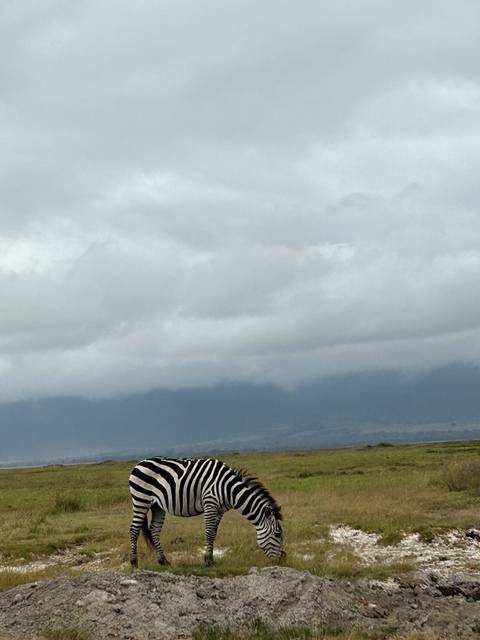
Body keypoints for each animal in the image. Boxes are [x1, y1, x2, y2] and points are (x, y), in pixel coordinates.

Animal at [129, 456, 285, 566]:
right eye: (278, 534)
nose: (283, 559)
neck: (229, 489)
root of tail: (139, 464)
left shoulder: (220, 510)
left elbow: (214, 533)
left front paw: (210, 559)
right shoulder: (210, 503)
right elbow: (209, 533)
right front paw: (208, 561)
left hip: (157, 506)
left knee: (154, 530)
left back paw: (163, 561)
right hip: (141, 500)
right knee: (134, 530)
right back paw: (134, 562)